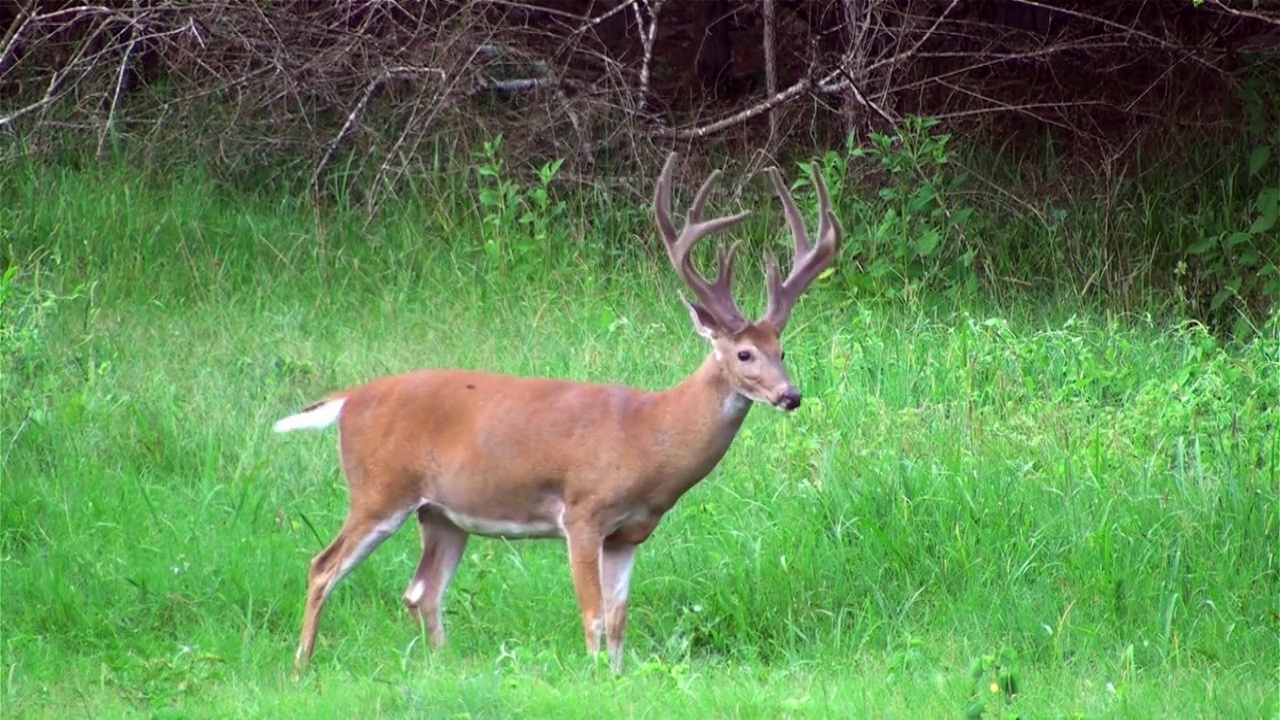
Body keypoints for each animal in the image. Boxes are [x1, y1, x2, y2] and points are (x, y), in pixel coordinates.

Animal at [272, 148, 839, 671]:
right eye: (744, 354)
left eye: (782, 349)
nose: (791, 395)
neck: (649, 434)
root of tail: (349, 399)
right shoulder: (583, 512)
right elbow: (593, 617)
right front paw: (591, 680)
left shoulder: (630, 532)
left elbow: (619, 619)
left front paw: (617, 679)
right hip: (379, 488)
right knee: (322, 566)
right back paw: (301, 667)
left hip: (442, 513)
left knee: (421, 591)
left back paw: (440, 666)